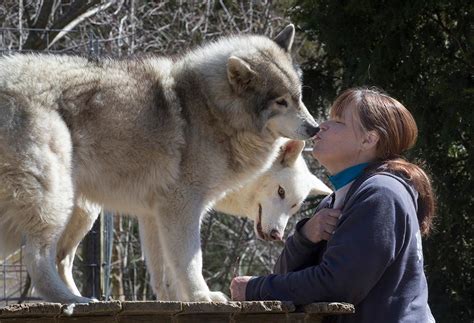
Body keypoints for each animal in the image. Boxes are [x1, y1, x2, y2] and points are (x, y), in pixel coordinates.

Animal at [0, 24, 322, 304]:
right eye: (281, 102)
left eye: (299, 97)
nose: (315, 128)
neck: (211, 109)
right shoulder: (183, 206)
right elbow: (191, 260)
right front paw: (202, 297)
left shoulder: (154, 214)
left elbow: (164, 273)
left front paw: (179, 301)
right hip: (58, 201)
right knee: (39, 258)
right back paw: (74, 300)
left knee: (56, 258)